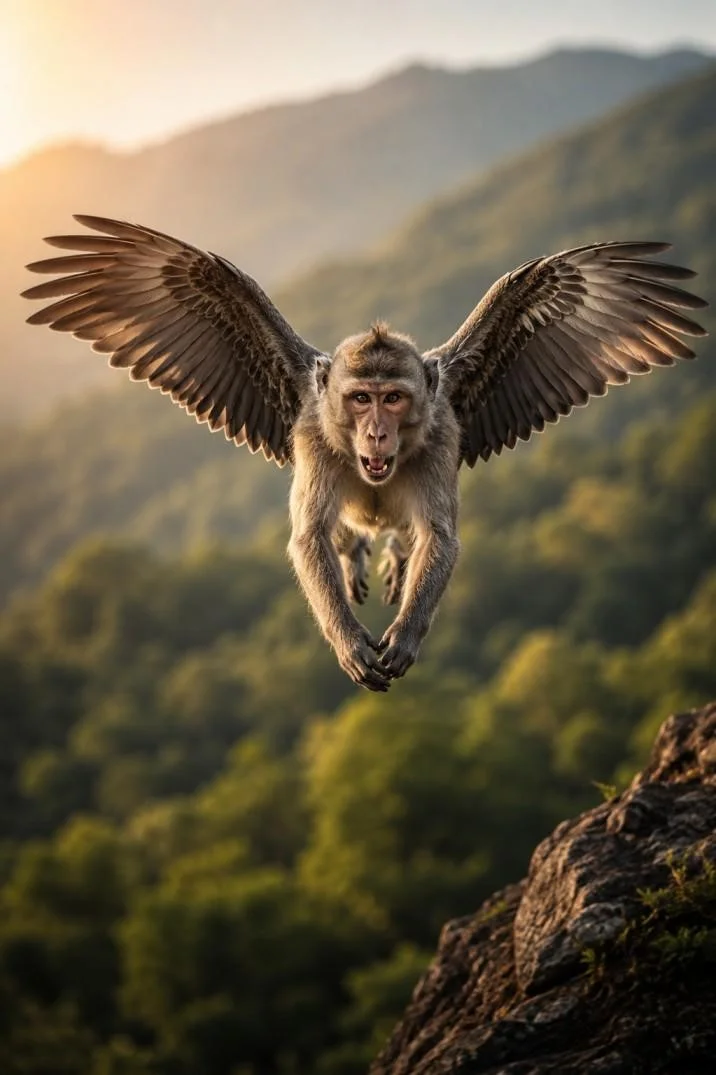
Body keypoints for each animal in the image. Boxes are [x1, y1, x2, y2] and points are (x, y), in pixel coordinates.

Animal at [23, 216, 708, 690]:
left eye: (395, 399)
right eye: (359, 399)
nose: (377, 433)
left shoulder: (440, 440)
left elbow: (440, 535)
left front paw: (404, 632)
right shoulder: (314, 441)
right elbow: (307, 537)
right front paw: (350, 641)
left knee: (407, 534)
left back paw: (396, 560)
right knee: (340, 531)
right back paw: (354, 552)